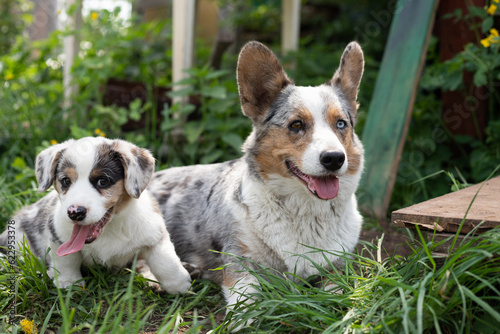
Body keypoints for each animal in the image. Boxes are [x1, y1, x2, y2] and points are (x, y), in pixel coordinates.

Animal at [148, 42, 364, 314]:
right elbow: (246, 303)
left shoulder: (337, 266)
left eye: (341, 124)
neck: (304, 212)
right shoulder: (239, 264)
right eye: (296, 125)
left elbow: (337, 292)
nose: (335, 158)